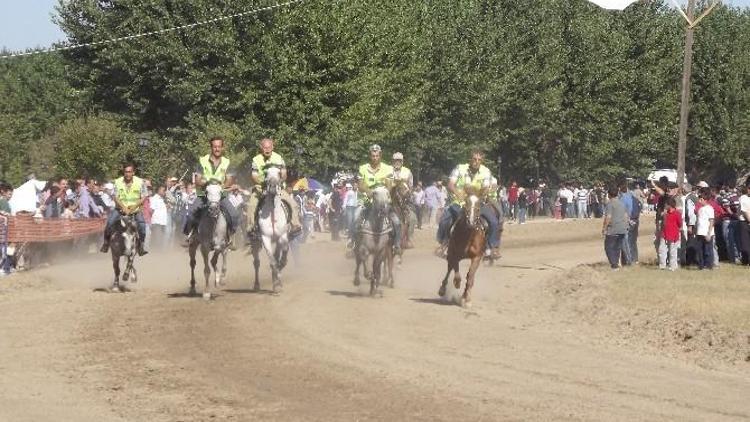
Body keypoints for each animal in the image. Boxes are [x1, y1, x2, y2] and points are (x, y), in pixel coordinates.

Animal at [251, 166, 290, 294]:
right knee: (256, 263)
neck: (272, 214)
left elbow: (282, 256)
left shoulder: (282, 236)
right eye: (266, 173)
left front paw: (277, 281)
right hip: (255, 242)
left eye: (279, 172)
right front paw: (277, 284)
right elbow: (272, 261)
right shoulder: (265, 238)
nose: (272, 188)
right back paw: (257, 285)